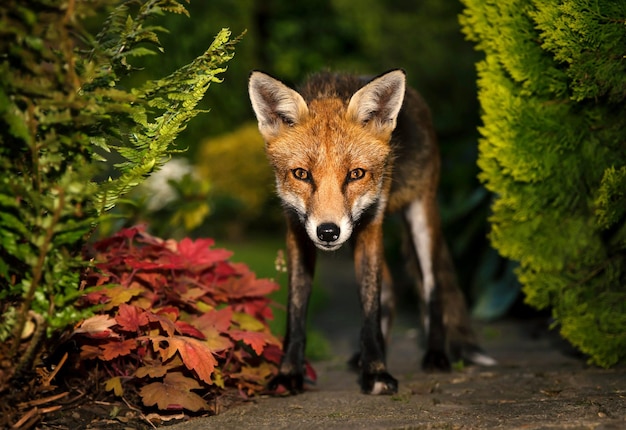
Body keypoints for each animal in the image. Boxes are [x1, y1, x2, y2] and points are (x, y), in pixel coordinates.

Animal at [246, 69, 494, 394]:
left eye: (356, 174)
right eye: (301, 174)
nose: (328, 232)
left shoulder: (371, 227)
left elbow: (370, 310)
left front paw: (376, 372)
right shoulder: (298, 233)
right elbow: (296, 313)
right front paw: (288, 373)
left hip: (420, 218)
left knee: (432, 289)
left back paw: (435, 355)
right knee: (389, 290)